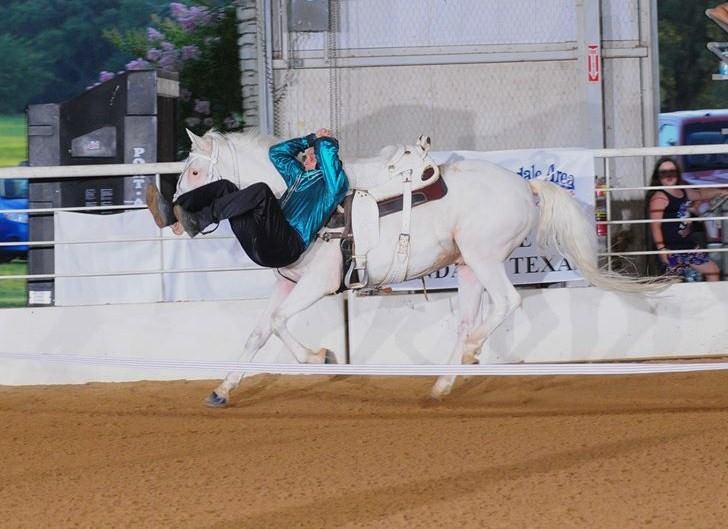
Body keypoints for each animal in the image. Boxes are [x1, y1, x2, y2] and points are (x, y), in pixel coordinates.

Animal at [179, 128, 668, 404]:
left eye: (196, 173)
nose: (179, 217)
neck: (287, 201)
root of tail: (524, 185)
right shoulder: (287, 282)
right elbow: (260, 331)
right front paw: (223, 388)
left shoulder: (317, 283)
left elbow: (280, 323)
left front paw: (322, 357)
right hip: (468, 266)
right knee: (468, 320)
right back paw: (443, 385)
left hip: (484, 258)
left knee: (506, 304)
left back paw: (471, 353)